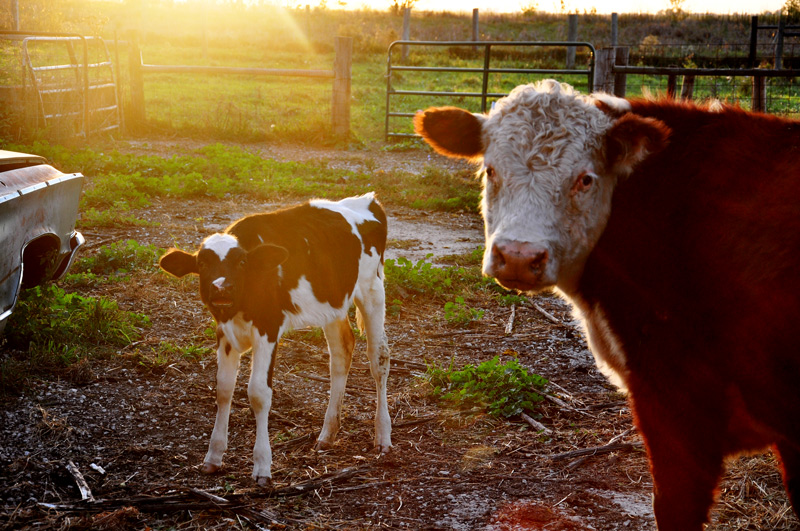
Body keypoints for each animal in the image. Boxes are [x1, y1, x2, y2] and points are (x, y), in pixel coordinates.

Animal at [159, 193, 392, 485]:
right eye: (202, 264)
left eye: (241, 263)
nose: (221, 288)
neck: (241, 305)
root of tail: (367, 200)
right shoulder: (224, 331)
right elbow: (223, 389)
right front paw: (213, 456)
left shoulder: (267, 329)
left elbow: (258, 393)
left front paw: (262, 466)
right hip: (333, 302)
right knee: (341, 353)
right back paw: (328, 434)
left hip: (372, 290)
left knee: (379, 358)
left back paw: (383, 436)